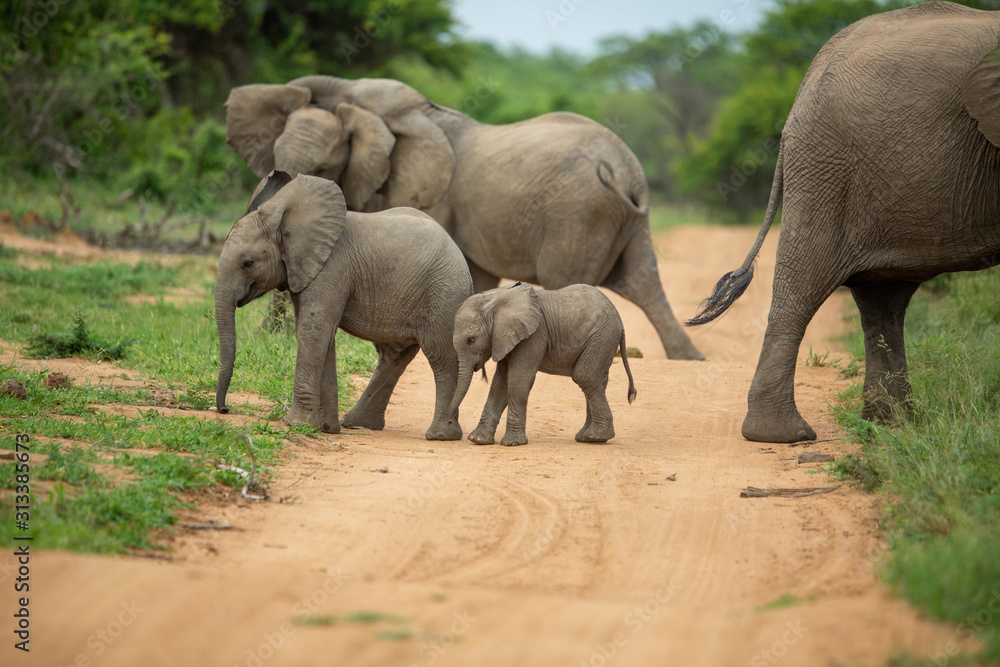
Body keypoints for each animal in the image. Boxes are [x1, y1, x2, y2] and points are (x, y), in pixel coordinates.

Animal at [215, 171, 473, 440]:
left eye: (247, 263)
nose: (224, 409)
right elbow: (323, 336)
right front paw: (325, 428)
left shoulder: (331, 267)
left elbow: (314, 331)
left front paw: (296, 424)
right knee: (395, 356)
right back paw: (356, 424)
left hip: (443, 293)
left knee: (441, 357)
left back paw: (440, 435)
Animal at [223, 74, 704, 360]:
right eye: (274, 160)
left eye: (325, 167)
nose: (269, 334)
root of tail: (629, 173)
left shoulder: (427, 194)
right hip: (623, 221)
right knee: (643, 280)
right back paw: (688, 357)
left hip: (580, 216)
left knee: (576, 279)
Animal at [447, 283, 637, 446]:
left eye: (471, 340)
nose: (449, 421)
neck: (494, 299)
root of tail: (619, 319)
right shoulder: (503, 338)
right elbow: (501, 382)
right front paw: (478, 440)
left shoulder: (534, 334)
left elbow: (518, 378)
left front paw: (512, 443)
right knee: (597, 380)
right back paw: (587, 437)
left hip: (602, 337)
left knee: (585, 376)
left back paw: (596, 436)